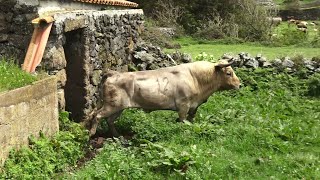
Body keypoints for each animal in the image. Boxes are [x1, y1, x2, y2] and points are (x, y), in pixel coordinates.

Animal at [87, 59, 240, 136]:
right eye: (228, 73)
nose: (239, 84)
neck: (195, 79)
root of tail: (113, 73)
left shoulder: (193, 107)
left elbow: (190, 120)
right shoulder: (183, 105)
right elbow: (182, 121)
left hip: (118, 107)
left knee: (109, 120)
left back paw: (117, 136)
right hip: (112, 105)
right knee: (97, 115)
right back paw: (91, 134)